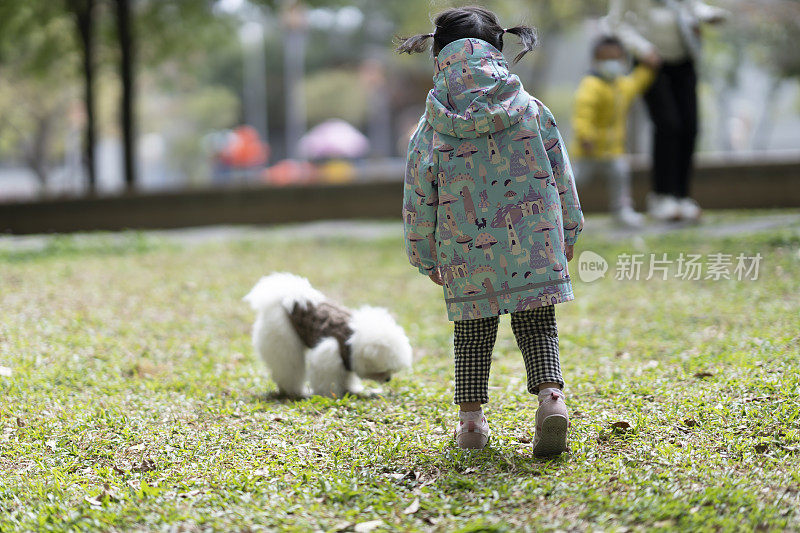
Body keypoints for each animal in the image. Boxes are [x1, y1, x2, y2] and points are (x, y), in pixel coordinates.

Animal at [244, 272, 412, 396]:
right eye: (382, 370)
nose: (389, 379)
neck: (352, 338)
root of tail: (287, 297)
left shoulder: (346, 359)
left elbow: (347, 376)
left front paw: (350, 389)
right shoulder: (330, 352)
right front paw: (330, 394)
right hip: (284, 340)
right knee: (289, 367)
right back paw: (296, 391)